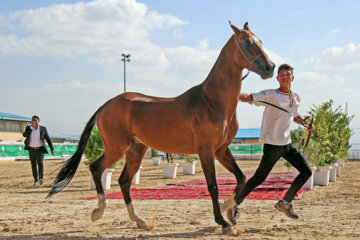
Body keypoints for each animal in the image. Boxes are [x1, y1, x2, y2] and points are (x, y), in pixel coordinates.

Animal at [47, 22, 272, 234]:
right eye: (247, 42)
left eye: (260, 40)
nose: (270, 67)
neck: (212, 101)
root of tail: (106, 104)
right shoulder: (206, 151)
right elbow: (213, 186)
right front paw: (224, 223)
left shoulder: (221, 150)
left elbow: (241, 177)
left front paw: (228, 208)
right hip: (116, 148)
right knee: (96, 168)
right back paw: (98, 211)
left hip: (136, 150)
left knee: (124, 181)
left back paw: (141, 221)